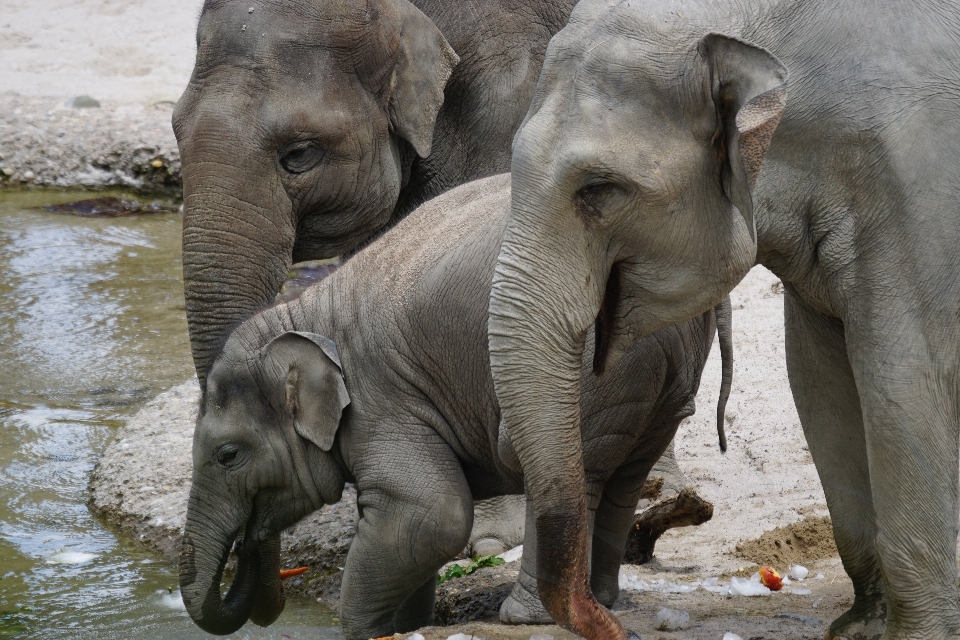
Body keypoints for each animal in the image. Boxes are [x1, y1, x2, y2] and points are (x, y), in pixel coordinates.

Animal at [176, 175, 724, 640]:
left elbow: (429, 514)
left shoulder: (383, 401)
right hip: (657, 377)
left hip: (582, 369)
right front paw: (408, 625)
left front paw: (363, 631)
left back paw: (527, 616)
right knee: (624, 478)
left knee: (568, 468)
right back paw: (603, 600)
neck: (301, 310)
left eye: (228, 455)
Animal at [492, 1, 960, 640]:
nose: (617, 624)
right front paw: (859, 627)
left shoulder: (919, 186)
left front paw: (916, 634)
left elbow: (903, 380)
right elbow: (819, 383)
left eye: (599, 188)